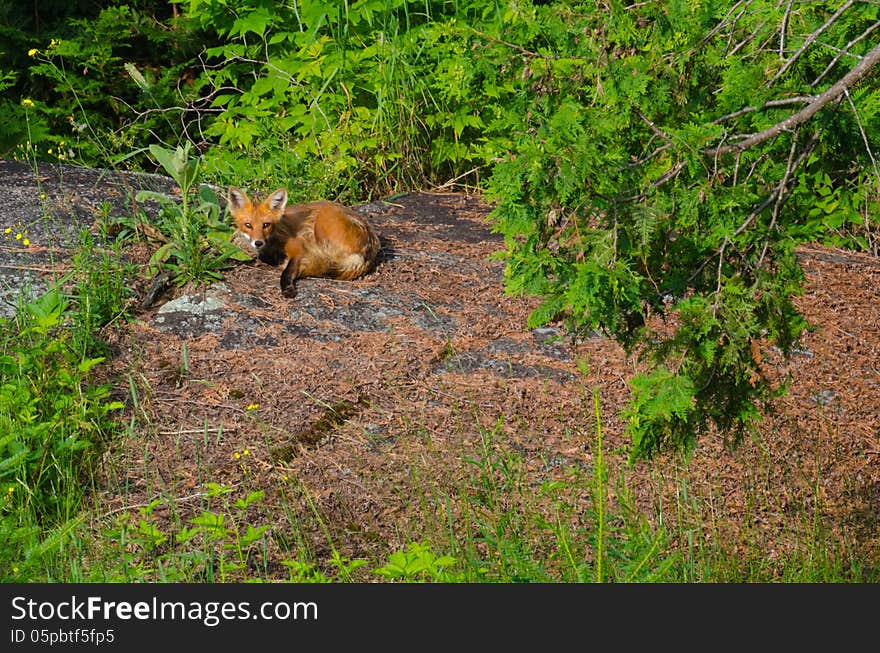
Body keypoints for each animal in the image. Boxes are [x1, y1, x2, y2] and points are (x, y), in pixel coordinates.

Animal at [225, 185, 380, 296]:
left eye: (266, 225)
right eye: (248, 225)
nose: (258, 242)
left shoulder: (298, 248)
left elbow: (287, 272)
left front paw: (287, 288)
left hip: (323, 221)